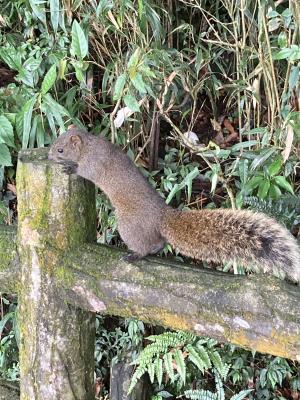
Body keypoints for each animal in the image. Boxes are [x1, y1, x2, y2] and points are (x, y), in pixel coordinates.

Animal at [48, 127, 300, 282]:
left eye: (60, 149)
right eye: (54, 143)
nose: (49, 156)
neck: (88, 147)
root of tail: (162, 216)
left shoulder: (93, 164)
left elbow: (82, 171)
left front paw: (69, 167)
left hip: (128, 226)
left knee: (145, 246)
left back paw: (133, 256)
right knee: (158, 244)